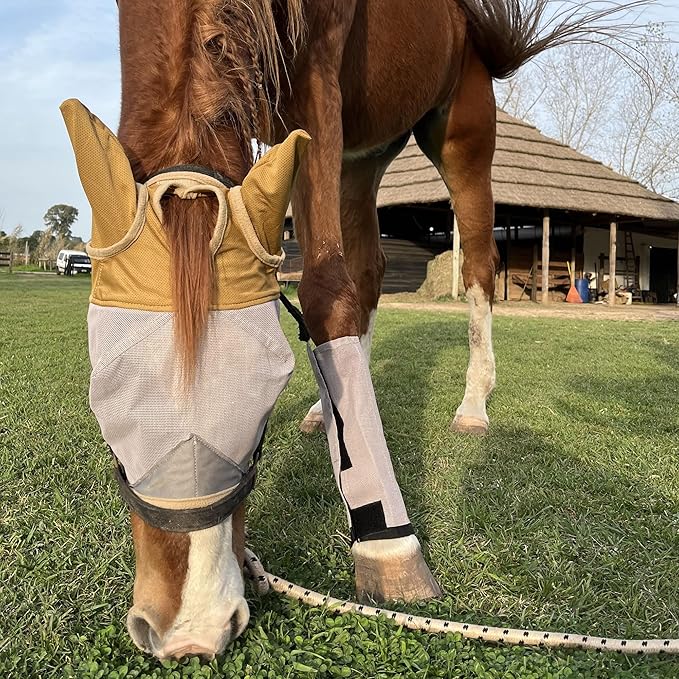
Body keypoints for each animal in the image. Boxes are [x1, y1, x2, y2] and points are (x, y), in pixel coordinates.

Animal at [75, 0, 639, 661]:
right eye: (107, 409)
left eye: (261, 408)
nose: (190, 631)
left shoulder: (316, 82)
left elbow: (325, 292)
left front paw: (386, 543)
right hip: (360, 156)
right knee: (369, 272)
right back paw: (329, 409)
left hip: (461, 136)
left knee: (475, 264)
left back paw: (473, 404)